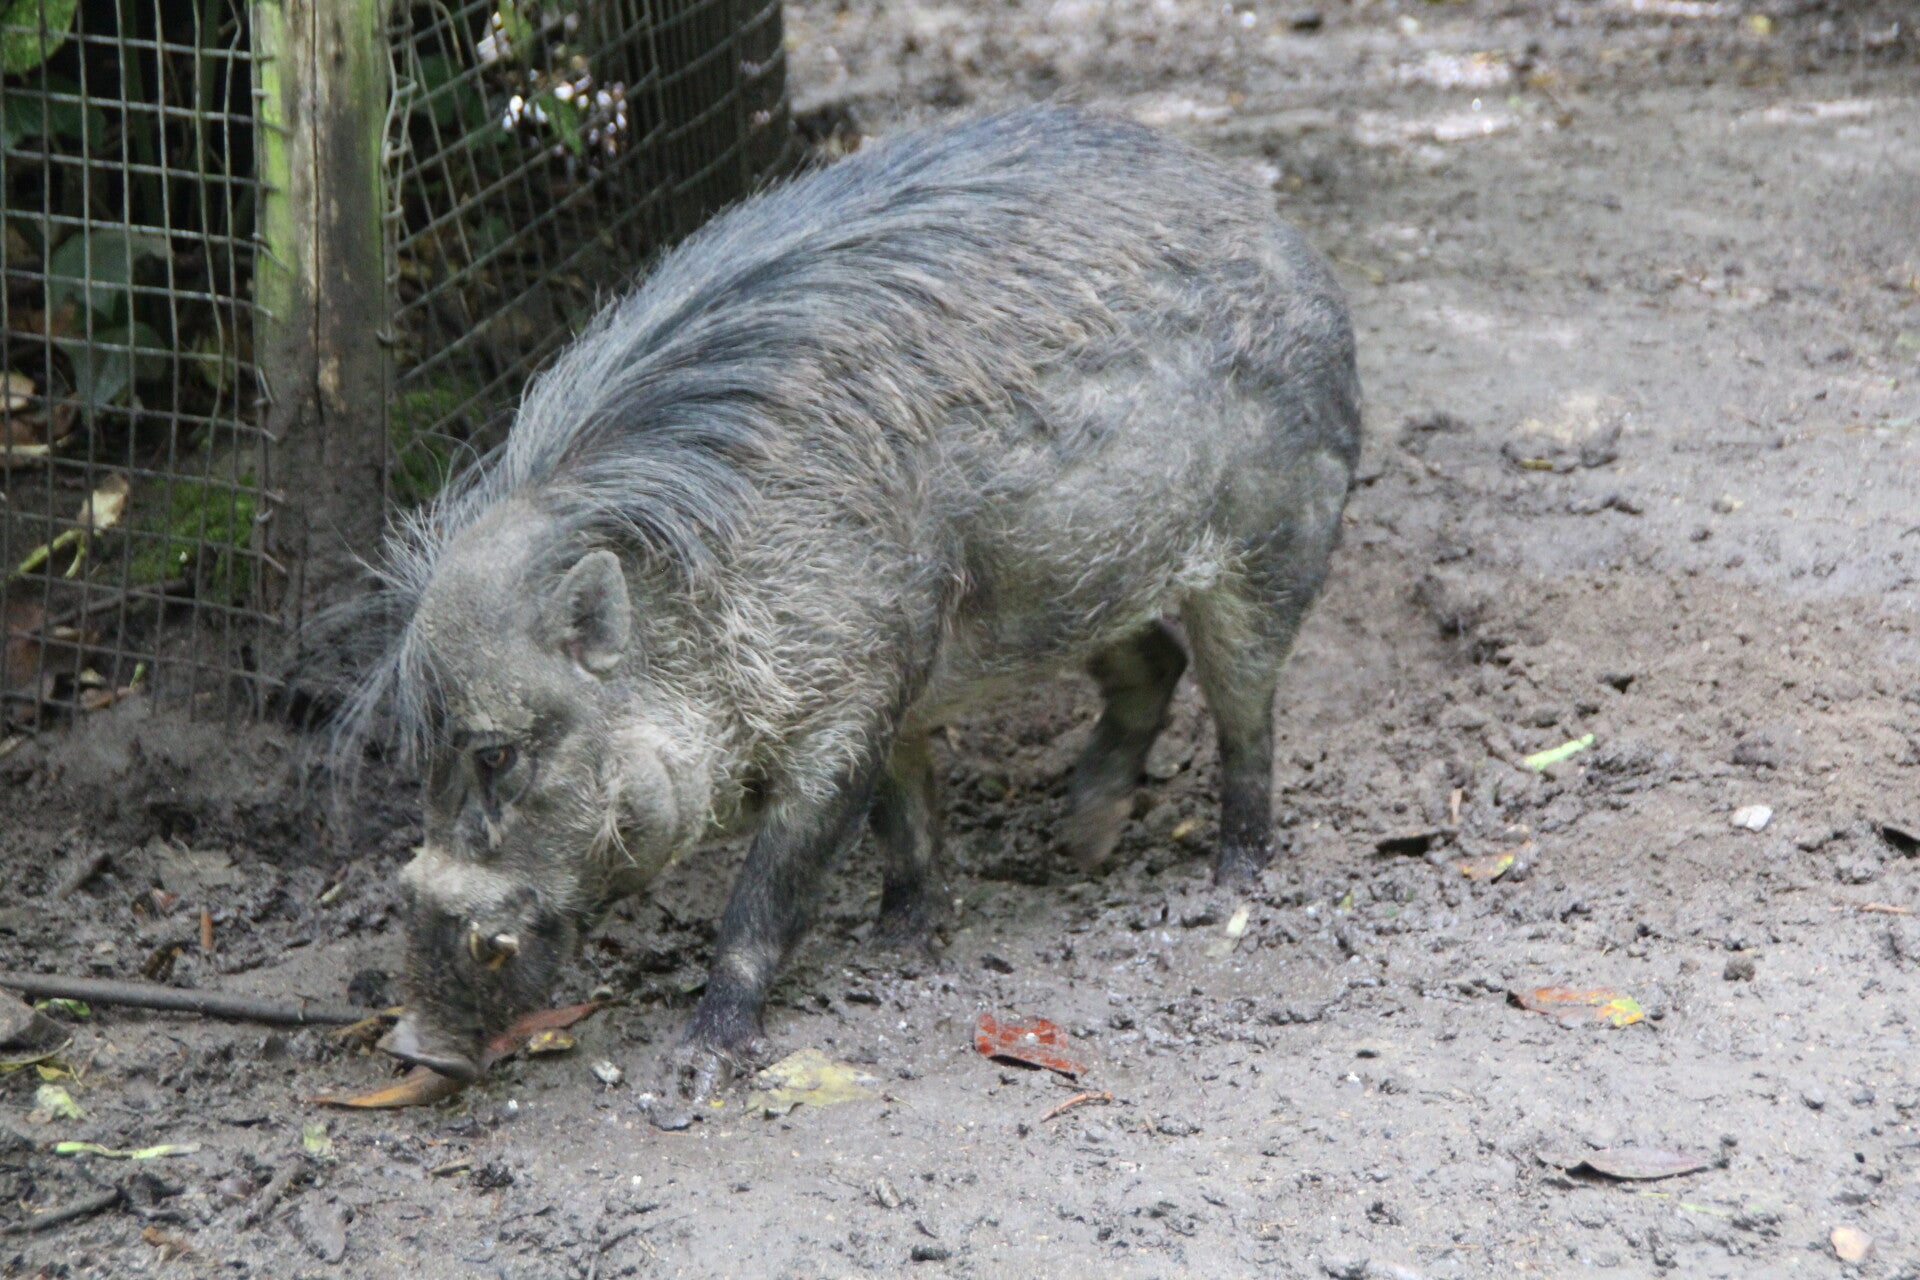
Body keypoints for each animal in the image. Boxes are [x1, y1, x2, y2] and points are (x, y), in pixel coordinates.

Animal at [342, 105, 1361, 1099]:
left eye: (497, 754)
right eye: (418, 755)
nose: (417, 1048)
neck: (700, 604)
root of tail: (1282, 227)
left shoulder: (846, 708)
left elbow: (770, 893)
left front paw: (694, 1073)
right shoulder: (895, 690)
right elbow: (905, 822)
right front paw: (900, 945)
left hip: (1273, 552)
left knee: (1246, 721)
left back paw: (1227, 887)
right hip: (1066, 594)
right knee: (1155, 660)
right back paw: (1084, 840)